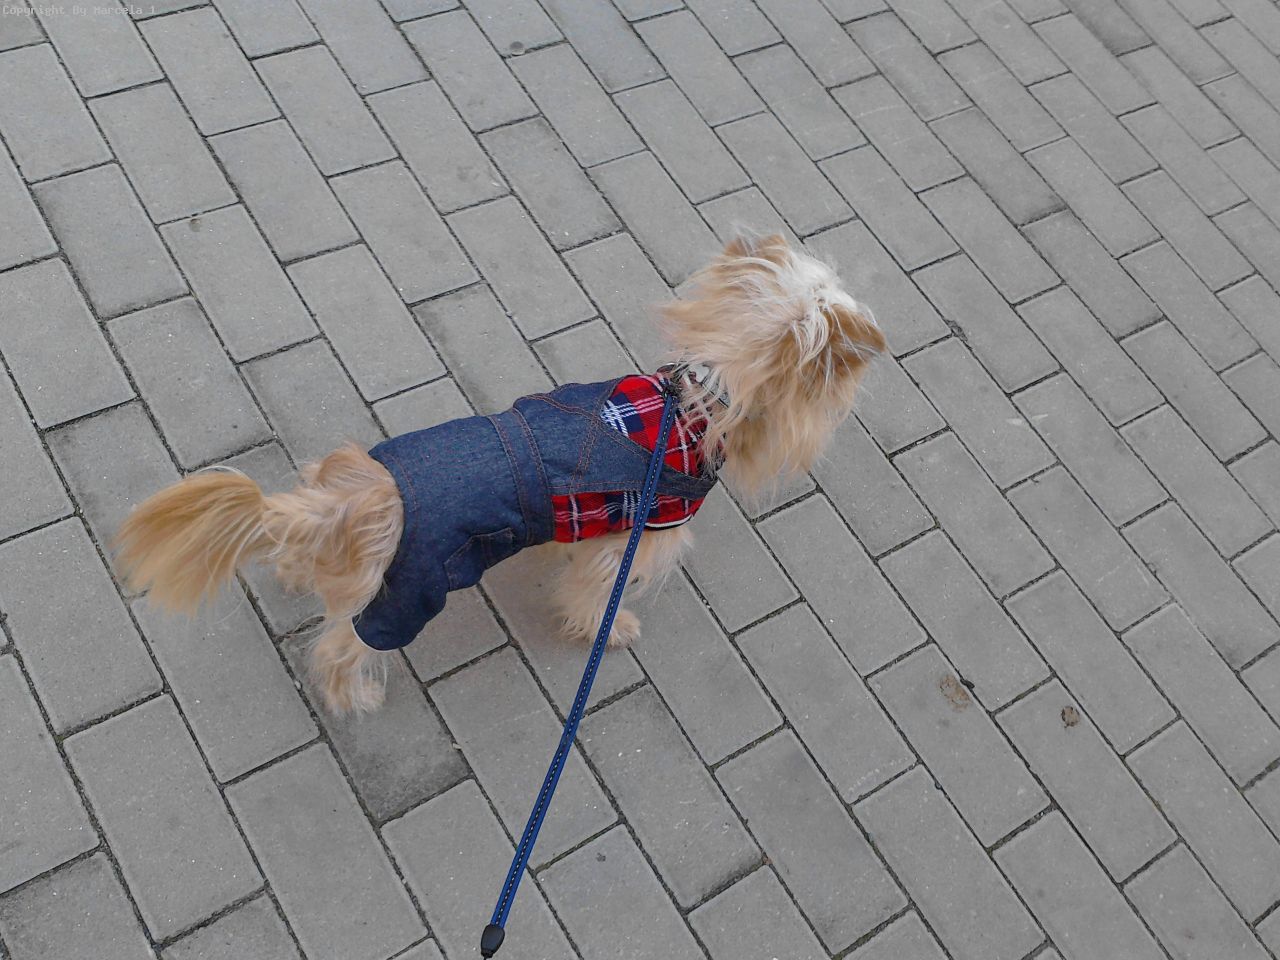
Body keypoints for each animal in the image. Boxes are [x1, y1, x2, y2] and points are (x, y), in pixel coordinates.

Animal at [114, 234, 885, 715]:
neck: (699, 398)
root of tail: (374, 496)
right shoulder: (632, 540)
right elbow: (596, 594)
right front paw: (610, 630)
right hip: (413, 592)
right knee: (343, 644)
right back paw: (352, 695)